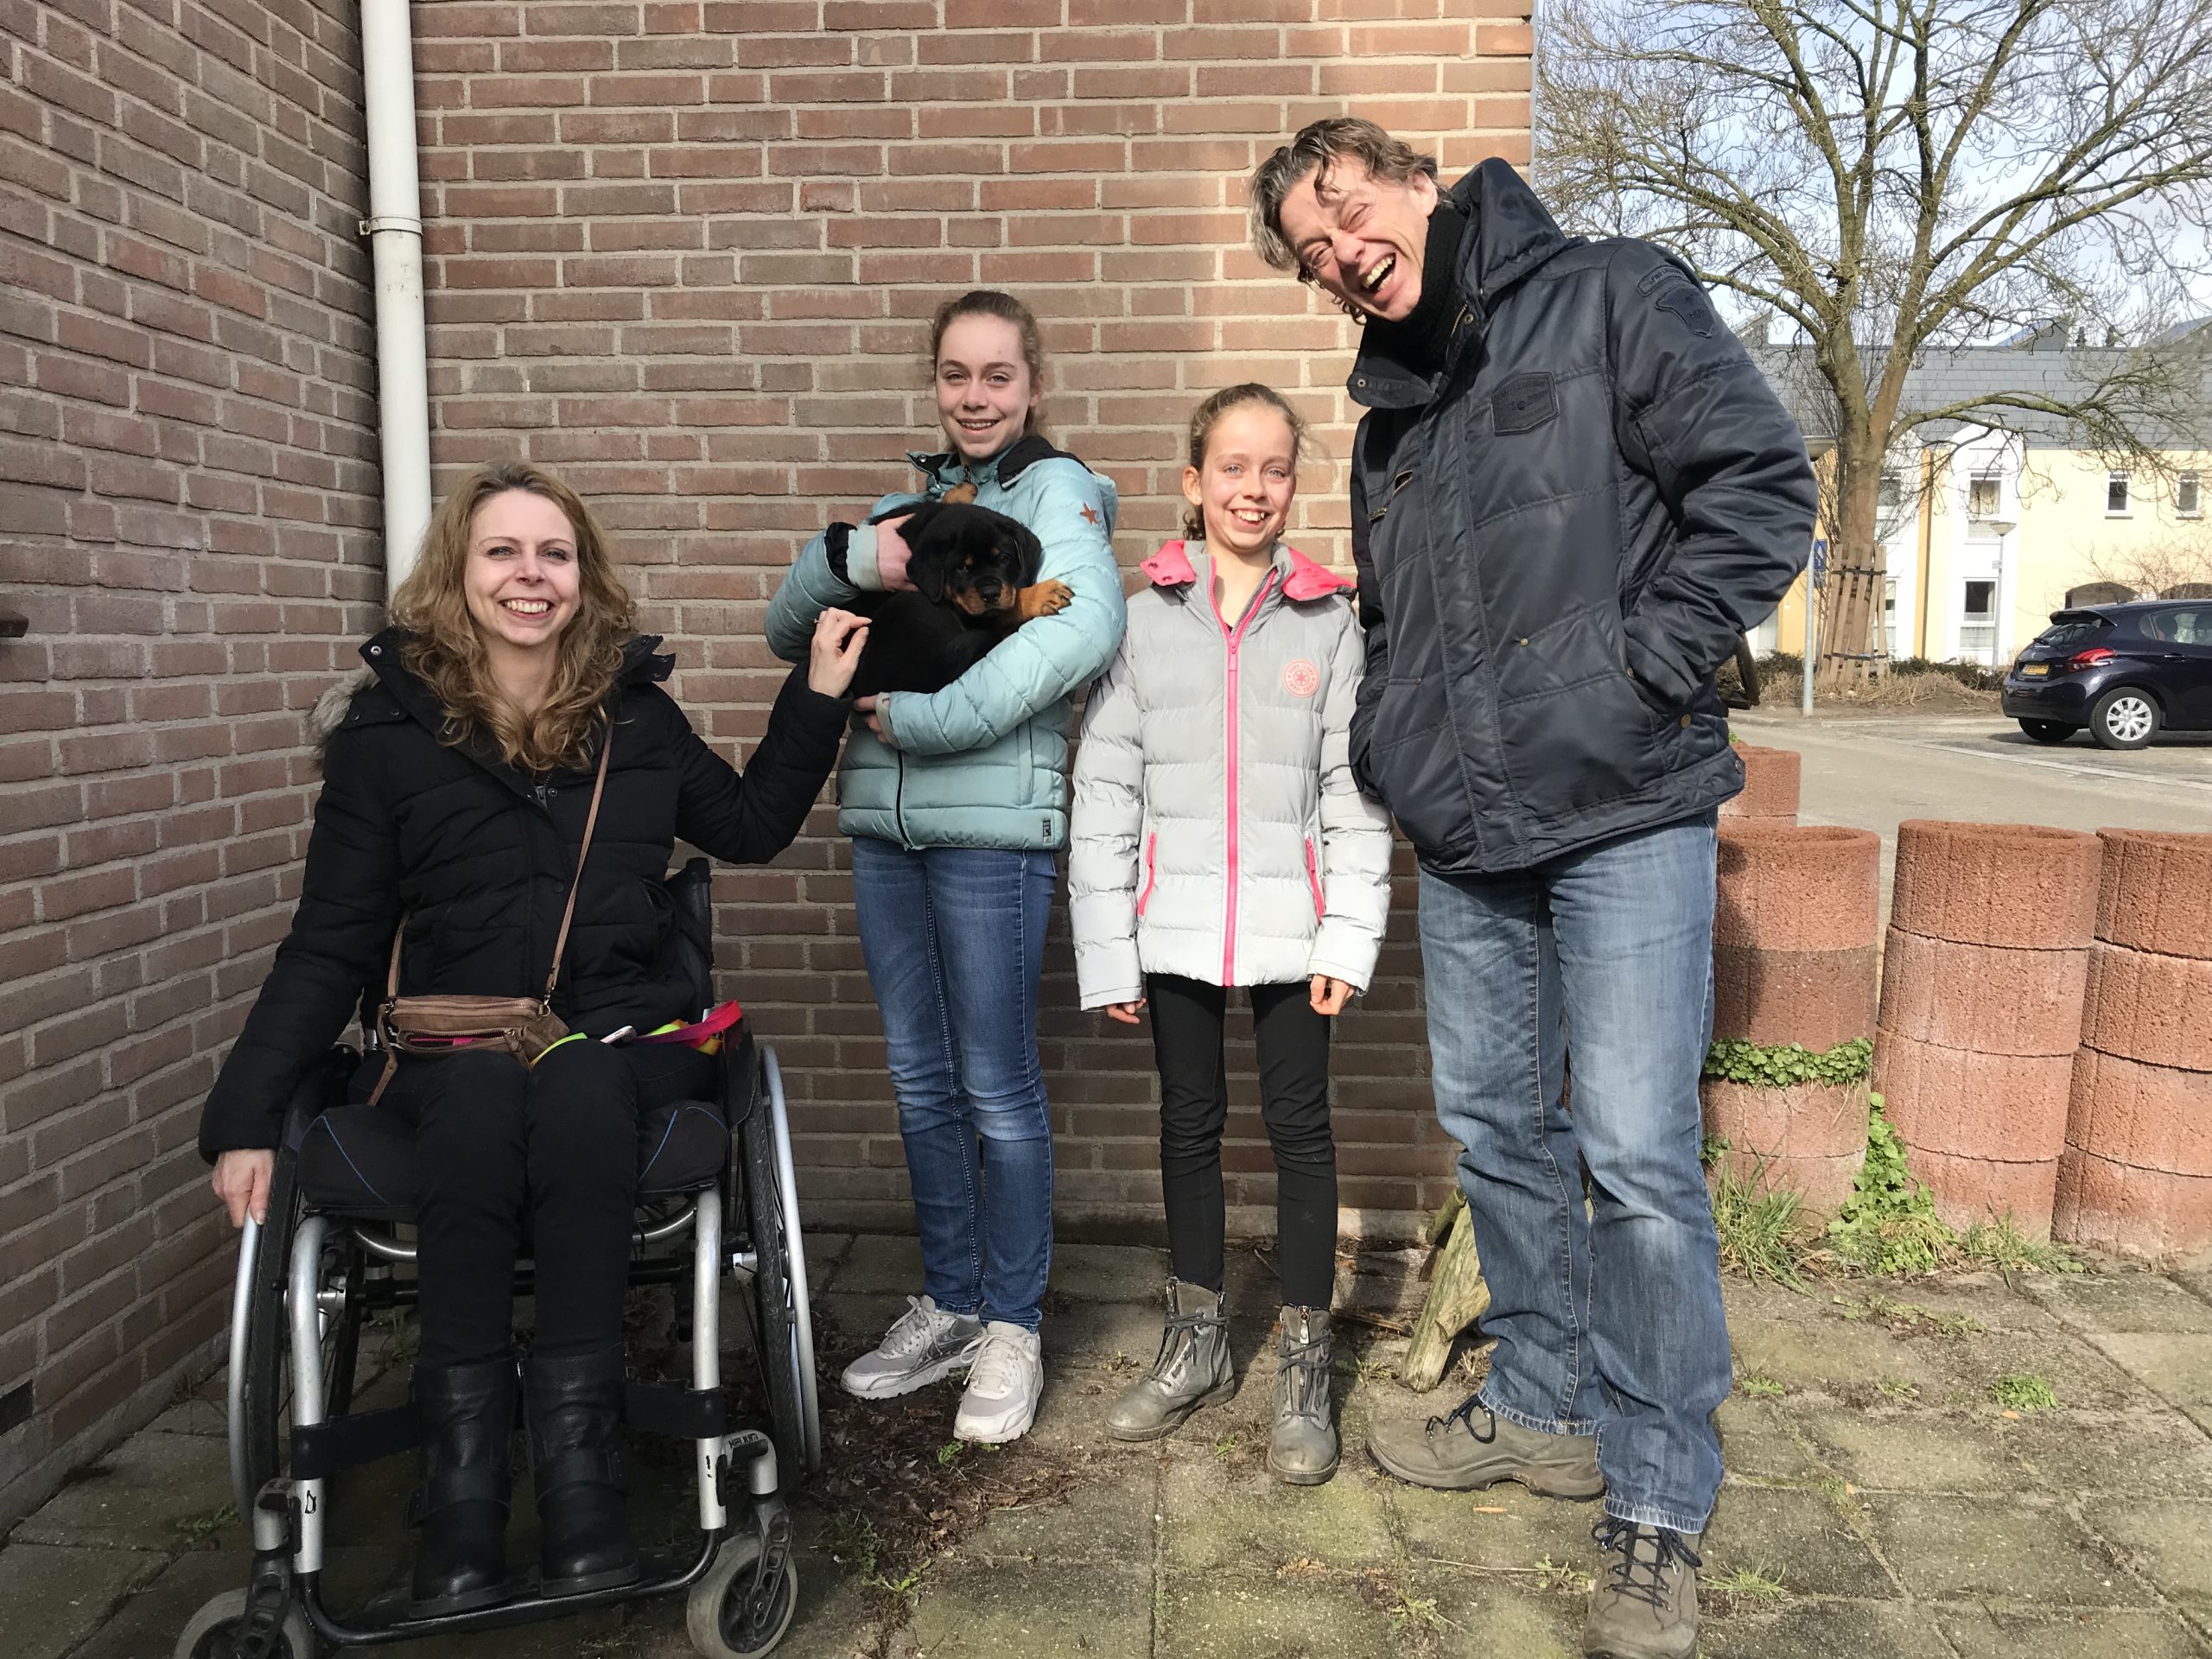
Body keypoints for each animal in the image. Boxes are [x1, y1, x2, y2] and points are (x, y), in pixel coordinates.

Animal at [843, 488, 1073, 697]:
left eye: (1004, 558)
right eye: (962, 568)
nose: (991, 593)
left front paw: (962, 490)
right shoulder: (968, 612)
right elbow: (1007, 608)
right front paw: (1041, 595)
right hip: (913, 606)